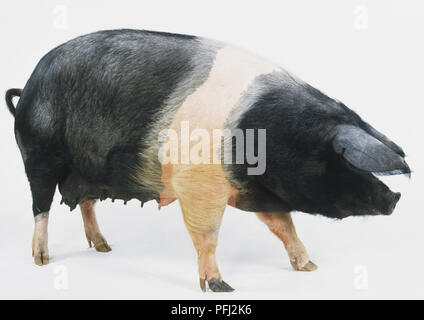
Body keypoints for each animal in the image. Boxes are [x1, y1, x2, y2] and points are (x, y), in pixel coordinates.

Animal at [6, 29, 410, 292]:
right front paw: (221, 287)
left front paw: (309, 268)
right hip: (38, 155)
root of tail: (27, 88)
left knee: (86, 203)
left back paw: (105, 247)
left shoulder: (256, 191)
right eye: (345, 160)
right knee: (41, 206)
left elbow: (284, 227)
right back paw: (42, 260)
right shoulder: (197, 185)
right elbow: (207, 235)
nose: (395, 198)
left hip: (87, 169)